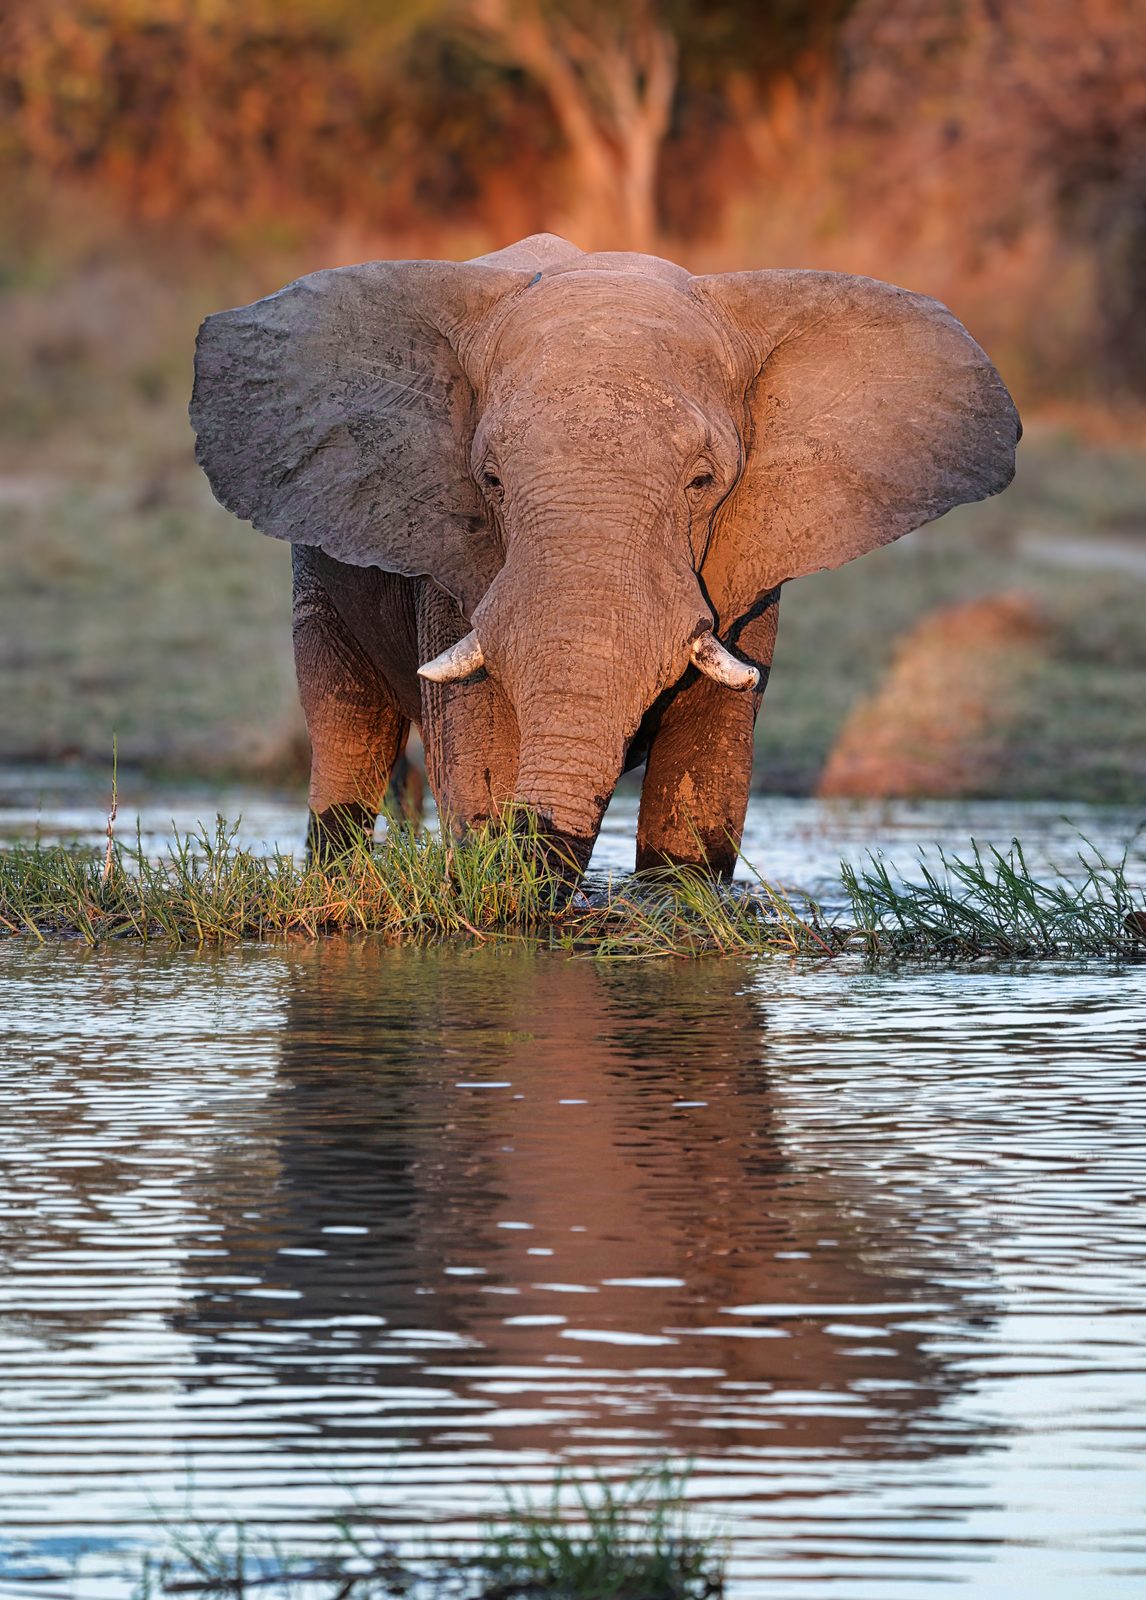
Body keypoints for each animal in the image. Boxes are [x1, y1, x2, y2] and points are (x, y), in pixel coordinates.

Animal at [191, 233, 1019, 876]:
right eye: (490, 480)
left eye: (703, 481)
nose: (538, 832)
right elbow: (478, 752)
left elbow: (708, 765)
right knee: (347, 730)